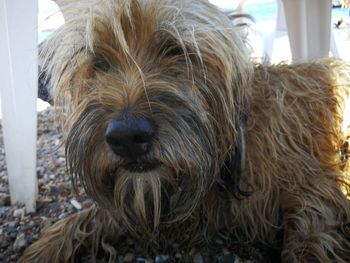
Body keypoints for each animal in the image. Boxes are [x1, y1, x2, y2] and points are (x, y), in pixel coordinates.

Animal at [20, 0, 350, 262]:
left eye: (176, 50)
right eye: (99, 62)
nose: (127, 138)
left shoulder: (313, 189)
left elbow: (311, 232)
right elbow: (90, 216)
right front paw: (43, 249)